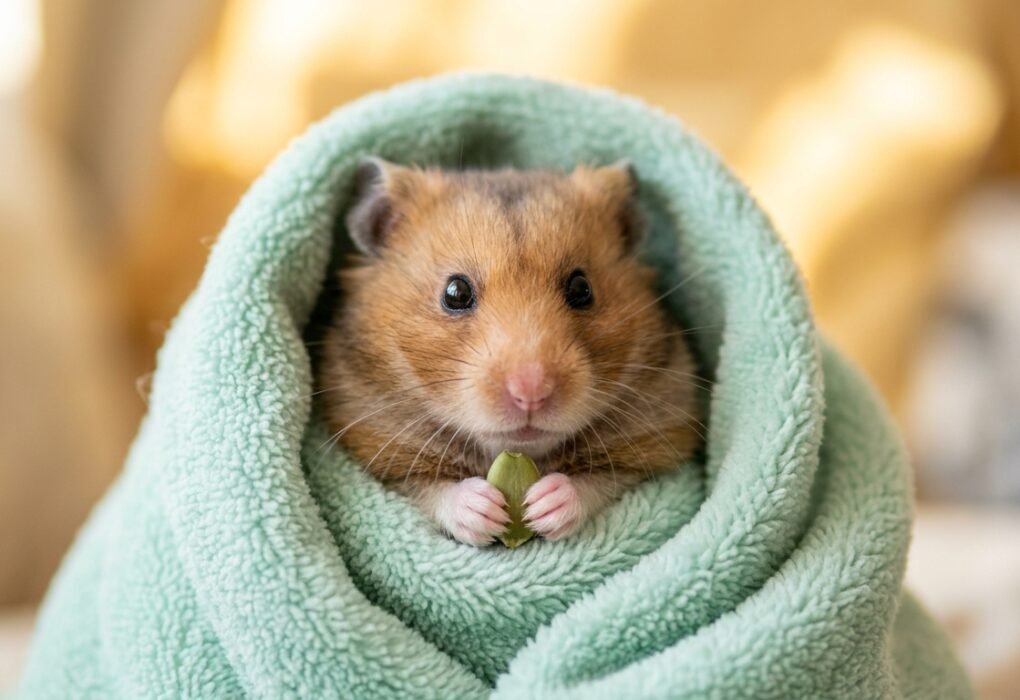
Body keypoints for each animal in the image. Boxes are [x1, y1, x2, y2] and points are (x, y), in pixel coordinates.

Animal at [318, 158, 702, 546]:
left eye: (582, 289)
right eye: (455, 292)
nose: (530, 394)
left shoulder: (650, 450)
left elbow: (597, 482)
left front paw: (545, 504)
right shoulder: (380, 454)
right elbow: (430, 490)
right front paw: (482, 509)